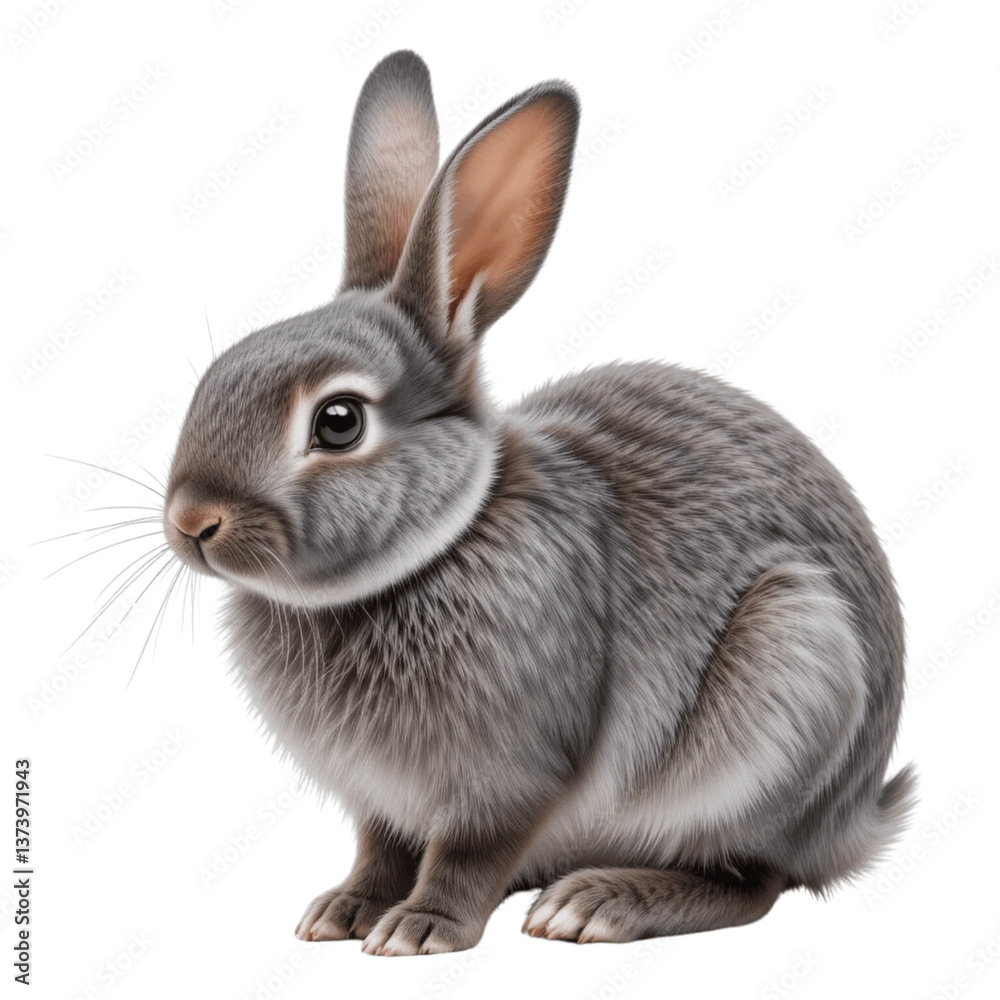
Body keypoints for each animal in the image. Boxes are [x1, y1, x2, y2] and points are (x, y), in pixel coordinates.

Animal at [163, 50, 915, 955]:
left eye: (338, 421)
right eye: (217, 373)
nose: (191, 523)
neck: (433, 549)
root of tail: (855, 817)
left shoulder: (517, 769)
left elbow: (471, 851)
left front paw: (421, 930)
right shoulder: (381, 800)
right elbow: (380, 849)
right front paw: (342, 912)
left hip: (793, 670)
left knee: (752, 879)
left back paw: (596, 904)